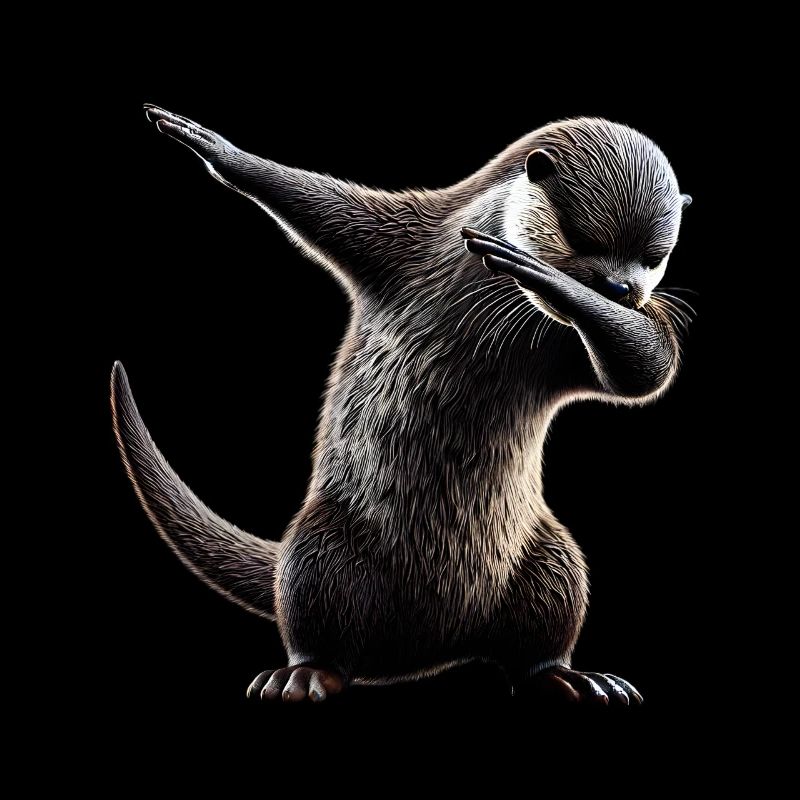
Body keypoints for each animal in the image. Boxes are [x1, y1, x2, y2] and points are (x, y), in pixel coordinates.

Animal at [113, 105, 692, 705]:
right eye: (581, 237)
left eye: (654, 258)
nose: (622, 289)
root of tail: (434, 646)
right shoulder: (401, 238)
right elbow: (319, 203)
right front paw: (215, 147)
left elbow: (650, 366)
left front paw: (550, 281)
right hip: (318, 554)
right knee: (319, 627)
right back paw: (303, 675)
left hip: (552, 560)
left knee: (539, 637)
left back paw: (572, 679)